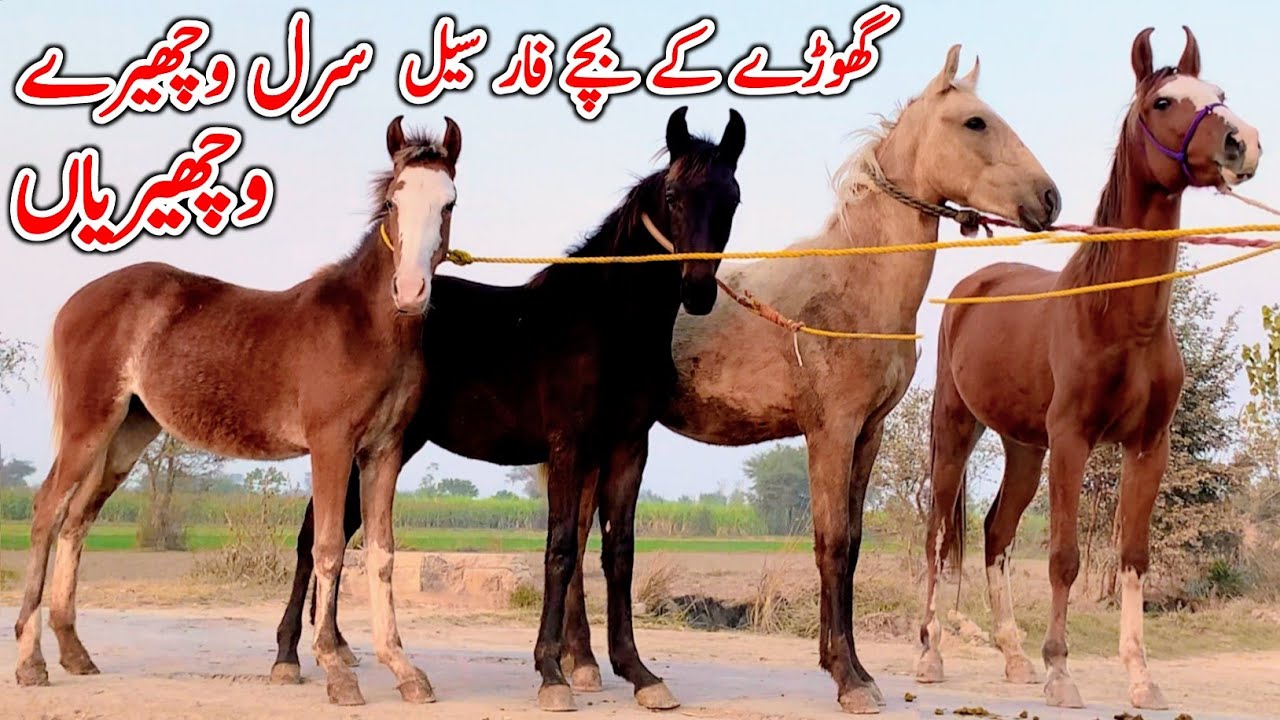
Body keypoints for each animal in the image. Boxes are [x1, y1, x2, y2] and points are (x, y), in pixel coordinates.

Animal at [14, 115, 462, 707]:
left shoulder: (384, 451)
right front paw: (335, 672)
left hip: (129, 432)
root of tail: (75, 301)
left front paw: (404, 670)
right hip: (90, 423)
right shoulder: (332, 444)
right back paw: (31, 663)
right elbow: (328, 547)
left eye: (449, 203)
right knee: (48, 510)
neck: (366, 327)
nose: (410, 291)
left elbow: (381, 553)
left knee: (78, 518)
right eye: (393, 201)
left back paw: (74, 653)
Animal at [271, 107, 746, 712]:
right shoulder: (569, 444)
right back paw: (289, 657)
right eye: (673, 194)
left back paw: (338, 650)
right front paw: (552, 674)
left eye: (732, 196)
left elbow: (618, 553)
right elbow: (561, 549)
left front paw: (639, 673)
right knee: (314, 537)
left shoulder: (627, 446)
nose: (698, 289)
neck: (607, 323)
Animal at [557, 44, 1062, 715]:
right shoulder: (830, 432)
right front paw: (849, 679)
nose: (1049, 199)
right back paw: (583, 665)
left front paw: (853, 669)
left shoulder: (867, 434)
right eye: (975, 122)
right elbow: (832, 544)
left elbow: (851, 548)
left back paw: (580, 661)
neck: (854, 287)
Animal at [916, 26, 1261, 711]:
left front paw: (1141, 677)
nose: (1244, 142)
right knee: (941, 535)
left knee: (995, 532)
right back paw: (932, 654)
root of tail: (974, 285)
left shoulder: (1147, 445)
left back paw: (1013, 658)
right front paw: (1060, 672)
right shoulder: (1073, 440)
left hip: (1025, 447)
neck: (1119, 318)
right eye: (1163, 102)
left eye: (1218, 92)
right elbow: (1064, 558)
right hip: (956, 430)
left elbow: (1132, 555)